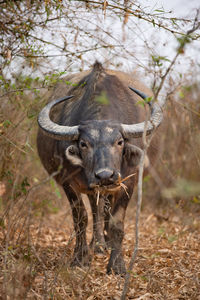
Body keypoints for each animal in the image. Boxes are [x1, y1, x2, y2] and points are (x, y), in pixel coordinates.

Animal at [36, 62, 163, 276]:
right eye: (84, 144)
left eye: (120, 142)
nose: (105, 176)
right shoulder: (68, 182)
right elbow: (80, 218)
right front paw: (80, 258)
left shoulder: (128, 181)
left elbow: (116, 223)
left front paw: (117, 265)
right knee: (96, 210)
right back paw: (97, 245)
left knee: (104, 210)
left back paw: (105, 244)